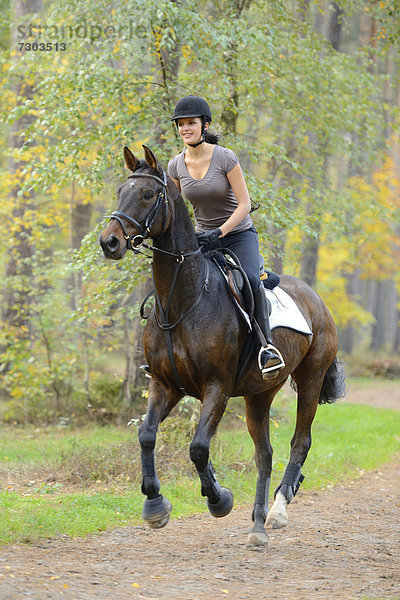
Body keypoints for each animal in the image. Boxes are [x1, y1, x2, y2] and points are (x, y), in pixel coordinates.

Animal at [99, 145, 344, 548]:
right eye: (121, 191)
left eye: (148, 194)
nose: (110, 242)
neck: (183, 301)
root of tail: (317, 299)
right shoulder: (165, 385)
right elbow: (147, 435)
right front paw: (155, 505)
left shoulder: (217, 386)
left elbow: (199, 447)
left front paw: (219, 498)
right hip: (260, 393)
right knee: (264, 454)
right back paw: (257, 525)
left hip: (310, 378)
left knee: (300, 442)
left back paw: (278, 510)